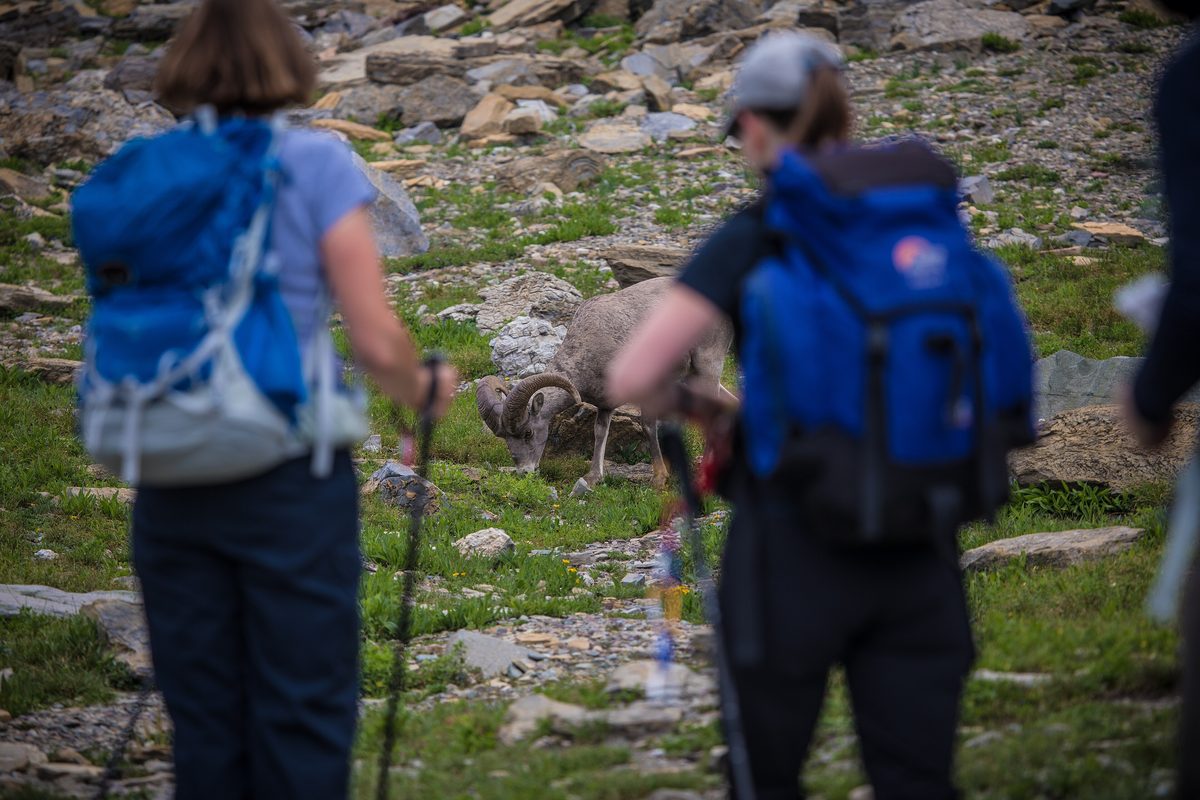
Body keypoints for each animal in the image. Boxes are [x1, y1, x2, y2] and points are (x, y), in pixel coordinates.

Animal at [476, 276, 733, 494]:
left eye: (528, 432)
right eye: (505, 438)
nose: (524, 473)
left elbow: (649, 426)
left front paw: (659, 479)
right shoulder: (605, 405)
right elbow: (600, 433)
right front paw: (593, 478)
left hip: (708, 368)